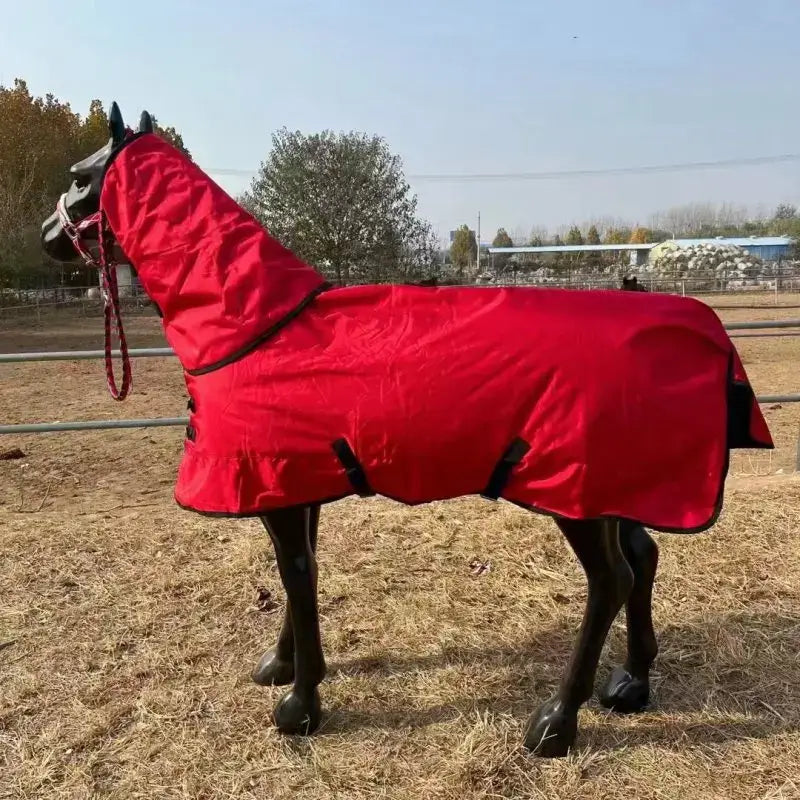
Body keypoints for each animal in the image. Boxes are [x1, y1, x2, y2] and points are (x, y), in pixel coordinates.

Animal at [40, 103, 772, 758]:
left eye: (80, 178)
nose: (45, 234)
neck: (258, 325)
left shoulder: (275, 482)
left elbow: (296, 575)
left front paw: (299, 708)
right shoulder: (297, 482)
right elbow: (298, 574)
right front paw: (284, 669)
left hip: (576, 490)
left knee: (612, 580)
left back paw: (554, 726)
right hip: (616, 483)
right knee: (645, 558)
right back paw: (632, 685)